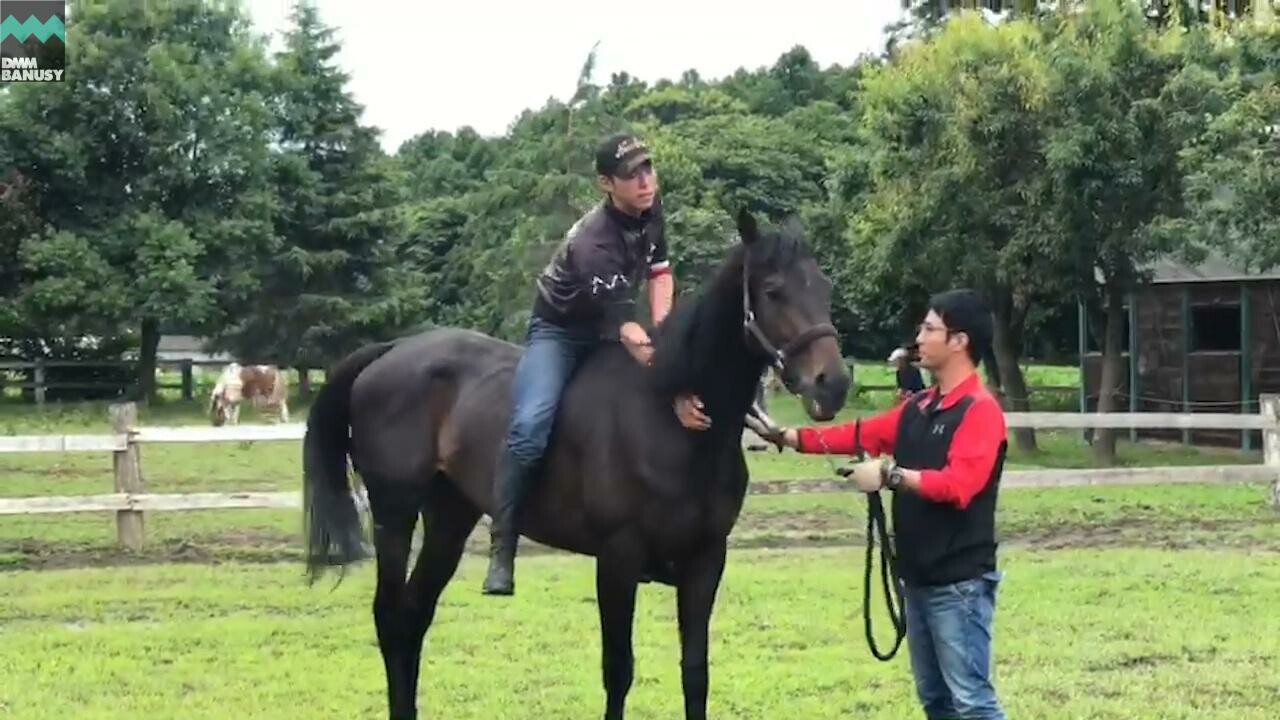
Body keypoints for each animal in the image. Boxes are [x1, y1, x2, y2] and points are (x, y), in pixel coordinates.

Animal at [301, 209, 851, 720]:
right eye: (774, 291)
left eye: (822, 287)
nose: (834, 384)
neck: (670, 416)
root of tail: (390, 352)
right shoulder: (618, 559)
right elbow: (618, 669)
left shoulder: (706, 560)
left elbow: (695, 672)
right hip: (395, 514)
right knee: (391, 617)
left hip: (450, 518)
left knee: (413, 616)